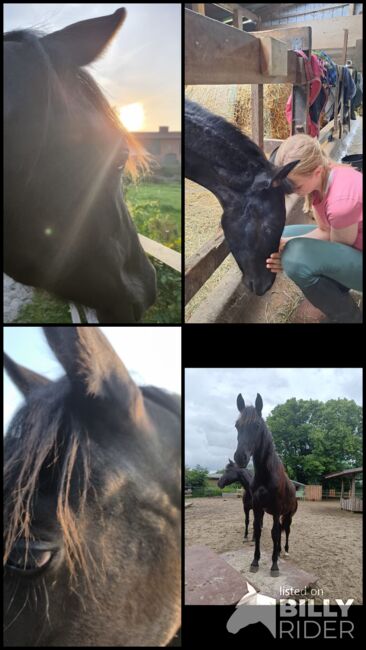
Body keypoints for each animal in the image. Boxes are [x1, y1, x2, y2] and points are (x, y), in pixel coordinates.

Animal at [234, 392, 298, 576]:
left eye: (256, 425)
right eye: (237, 426)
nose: (240, 457)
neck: (265, 476)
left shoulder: (276, 510)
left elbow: (276, 533)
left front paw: (274, 565)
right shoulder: (257, 508)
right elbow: (258, 530)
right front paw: (255, 561)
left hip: (288, 514)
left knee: (286, 531)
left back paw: (285, 551)